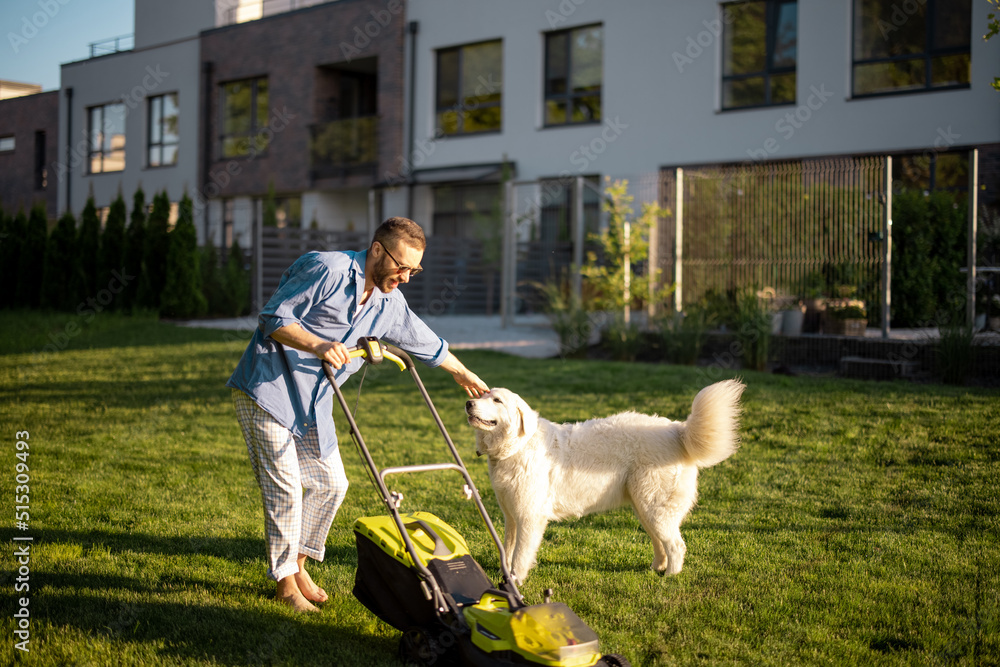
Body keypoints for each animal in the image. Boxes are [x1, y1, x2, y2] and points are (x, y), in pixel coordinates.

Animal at [466, 384, 744, 580]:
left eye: (497, 400)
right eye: (483, 394)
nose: (468, 402)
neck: (518, 446)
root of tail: (678, 430)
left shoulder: (529, 517)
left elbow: (521, 554)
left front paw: (515, 580)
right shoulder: (511, 516)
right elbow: (508, 547)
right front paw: (504, 574)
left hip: (655, 508)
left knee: (676, 545)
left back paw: (670, 578)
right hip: (644, 508)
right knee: (661, 543)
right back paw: (656, 568)